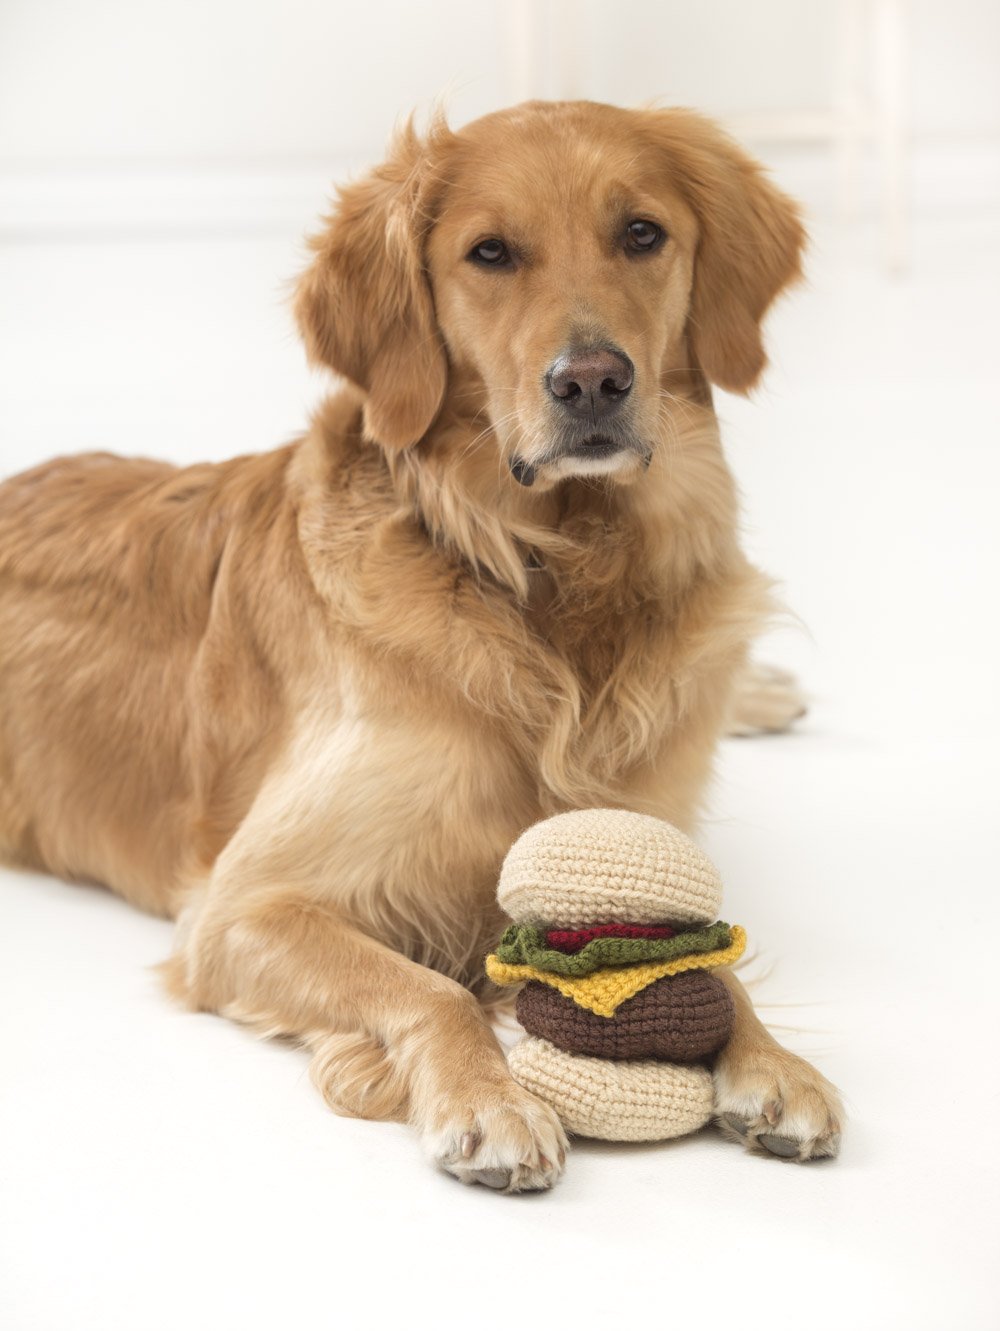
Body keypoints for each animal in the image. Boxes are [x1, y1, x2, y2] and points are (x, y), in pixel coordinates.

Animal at [0, 98, 846, 1192]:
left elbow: (717, 960)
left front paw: (775, 1064)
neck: (551, 576)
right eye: (489, 253)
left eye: (641, 233)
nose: (593, 380)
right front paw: (489, 1100)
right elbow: (429, 987)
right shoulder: (241, 906)